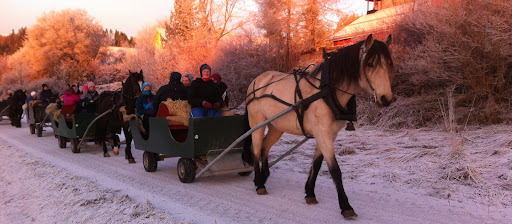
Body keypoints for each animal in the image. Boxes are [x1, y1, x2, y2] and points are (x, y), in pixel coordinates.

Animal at [246, 34, 394, 220]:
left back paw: (264, 177)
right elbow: (335, 170)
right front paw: (345, 206)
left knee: (265, 147)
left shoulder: (328, 134)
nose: (386, 98)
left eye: (389, 64)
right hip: (257, 123)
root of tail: (257, 79)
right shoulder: (323, 134)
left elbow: (316, 164)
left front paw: (310, 193)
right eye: (370, 64)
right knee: (256, 149)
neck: (327, 91)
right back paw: (259, 183)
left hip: (276, 126)